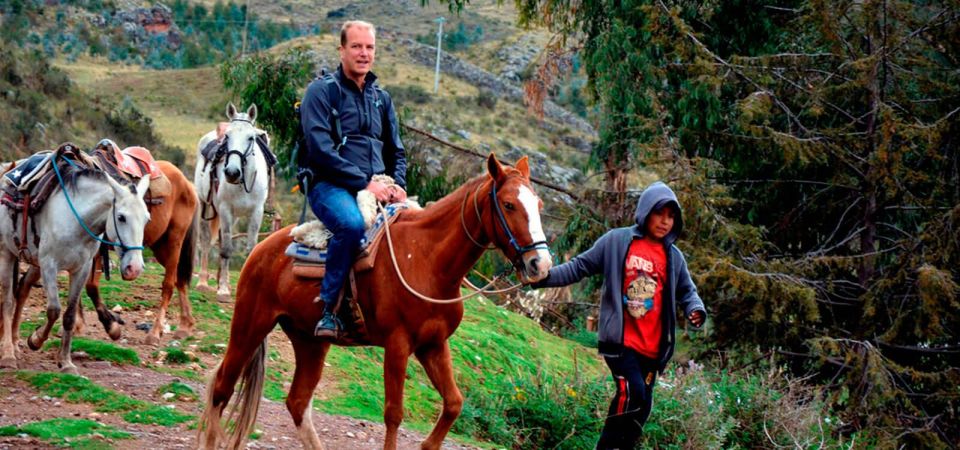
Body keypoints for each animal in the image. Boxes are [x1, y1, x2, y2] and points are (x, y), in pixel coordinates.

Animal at [0, 153, 149, 374]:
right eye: (121, 217)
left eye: (147, 219)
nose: (135, 268)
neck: (76, 218)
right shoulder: (50, 265)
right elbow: (53, 310)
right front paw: (36, 339)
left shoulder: (82, 268)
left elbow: (69, 315)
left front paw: (66, 363)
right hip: (7, 253)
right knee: (8, 300)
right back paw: (8, 354)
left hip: (32, 260)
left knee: (23, 289)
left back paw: (15, 343)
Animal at [8, 159, 200, 348]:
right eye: (121, 217)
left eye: (147, 218)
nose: (133, 269)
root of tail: (188, 184)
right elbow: (31, 284)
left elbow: (90, 287)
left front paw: (110, 326)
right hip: (160, 247)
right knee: (180, 280)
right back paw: (186, 325)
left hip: (173, 242)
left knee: (168, 284)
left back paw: (155, 332)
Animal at [194, 104, 270, 302]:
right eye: (227, 137)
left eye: (251, 138)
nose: (232, 172)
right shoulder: (225, 209)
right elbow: (227, 249)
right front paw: (222, 290)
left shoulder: (256, 213)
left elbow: (250, 249)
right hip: (206, 205)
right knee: (206, 241)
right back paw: (203, 282)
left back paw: (224, 280)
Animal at [197, 154, 556, 446]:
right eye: (508, 205)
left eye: (539, 206)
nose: (540, 265)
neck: (427, 259)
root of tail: (262, 248)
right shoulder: (398, 344)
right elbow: (394, 413)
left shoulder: (433, 344)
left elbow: (454, 404)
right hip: (250, 324)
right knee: (222, 388)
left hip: (310, 341)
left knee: (297, 402)